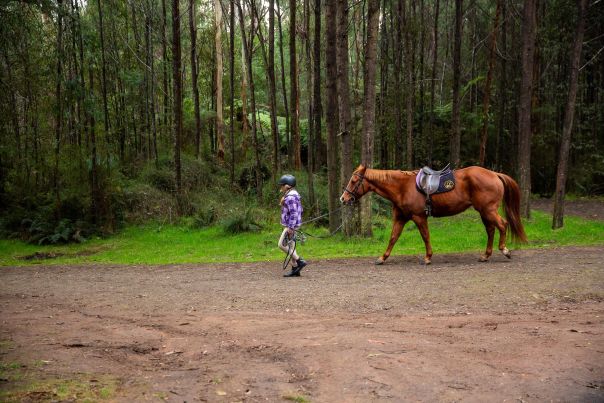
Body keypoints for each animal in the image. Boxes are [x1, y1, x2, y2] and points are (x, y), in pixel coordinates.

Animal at [342, 164, 528, 266]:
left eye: (353, 181)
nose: (343, 198)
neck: (402, 187)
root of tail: (494, 174)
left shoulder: (419, 217)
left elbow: (425, 236)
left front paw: (428, 257)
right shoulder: (401, 218)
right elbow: (393, 238)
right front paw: (382, 258)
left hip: (488, 210)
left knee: (502, 225)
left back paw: (504, 250)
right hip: (484, 211)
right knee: (491, 229)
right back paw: (486, 255)